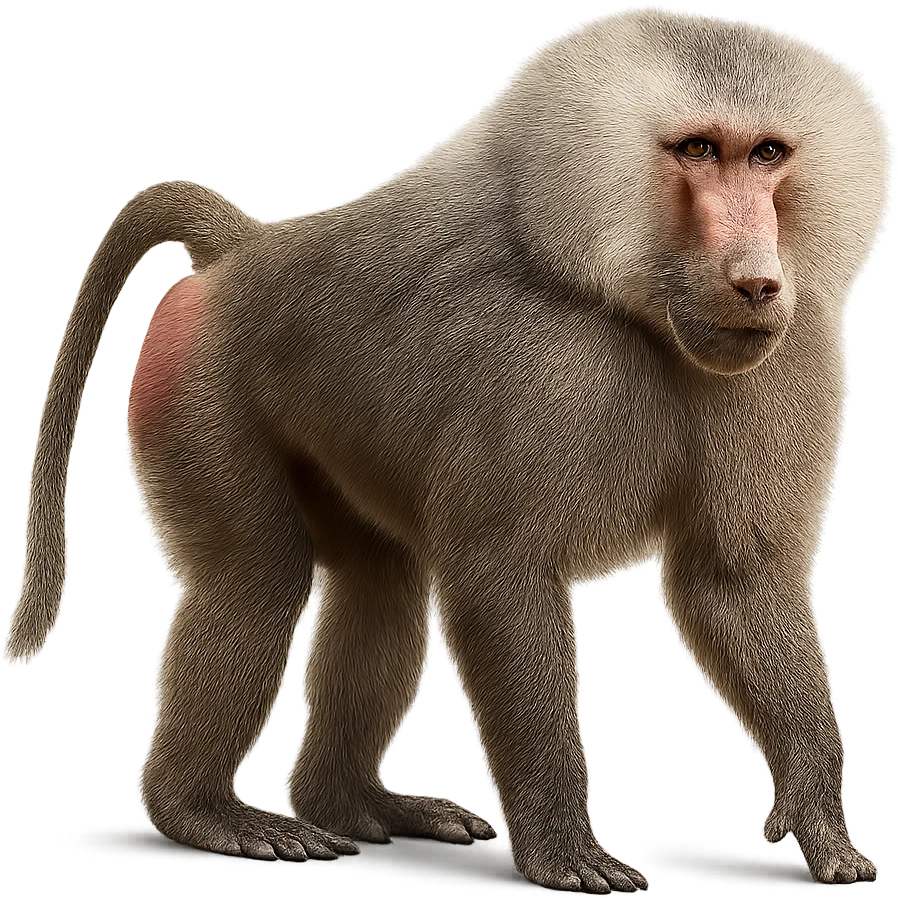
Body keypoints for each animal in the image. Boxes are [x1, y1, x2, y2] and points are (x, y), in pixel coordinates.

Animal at [5, 8, 892, 893]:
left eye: (768, 154)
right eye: (701, 149)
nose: (758, 283)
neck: (626, 296)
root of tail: (245, 251)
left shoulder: (788, 354)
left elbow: (731, 579)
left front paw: (818, 825)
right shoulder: (547, 364)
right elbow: (502, 570)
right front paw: (566, 851)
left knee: (380, 585)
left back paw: (354, 804)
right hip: (197, 387)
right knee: (255, 580)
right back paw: (205, 813)